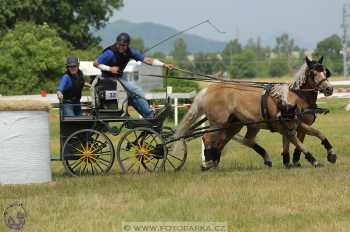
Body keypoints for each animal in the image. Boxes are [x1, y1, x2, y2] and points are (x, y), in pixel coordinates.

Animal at [176, 56, 332, 169]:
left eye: (325, 72)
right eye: (313, 73)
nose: (329, 89)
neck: (294, 98)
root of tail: (208, 89)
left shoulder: (297, 124)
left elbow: (316, 134)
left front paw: (328, 153)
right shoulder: (288, 127)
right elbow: (297, 142)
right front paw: (312, 160)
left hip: (234, 124)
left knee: (229, 140)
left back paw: (216, 160)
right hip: (218, 123)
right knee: (207, 138)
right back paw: (208, 162)